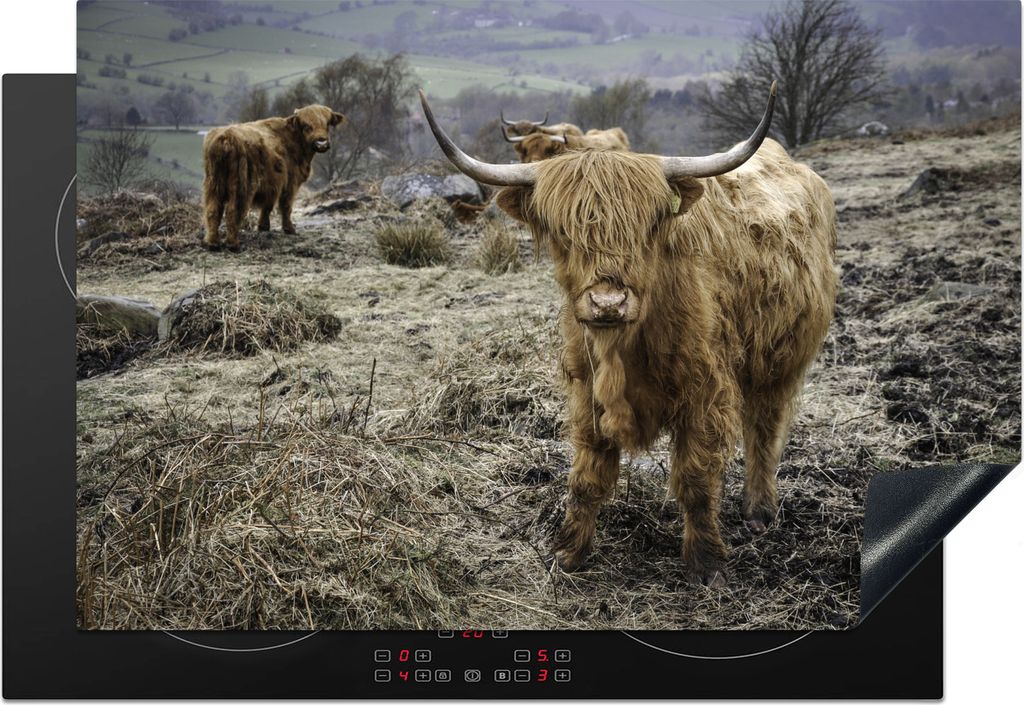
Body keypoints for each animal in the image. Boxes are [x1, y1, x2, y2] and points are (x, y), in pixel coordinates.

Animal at [202, 104, 345, 250]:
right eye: (306, 125)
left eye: (327, 123)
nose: (321, 143)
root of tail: (226, 137)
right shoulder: (290, 182)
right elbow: (286, 206)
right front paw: (289, 229)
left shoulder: (272, 184)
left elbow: (268, 206)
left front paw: (263, 227)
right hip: (242, 185)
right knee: (233, 211)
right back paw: (233, 244)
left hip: (213, 184)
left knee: (213, 210)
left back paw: (213, 243)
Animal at [420, 84, 837, 586]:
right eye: (565, 231)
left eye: (647, 226)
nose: (607, 303)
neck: (627, 348)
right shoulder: (587, 392)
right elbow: (587, 477)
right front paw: (568, 552)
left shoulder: (706, 391)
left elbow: (696, 479)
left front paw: (706, 565)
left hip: (781, 357)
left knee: (765, 428)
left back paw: (759, 510)